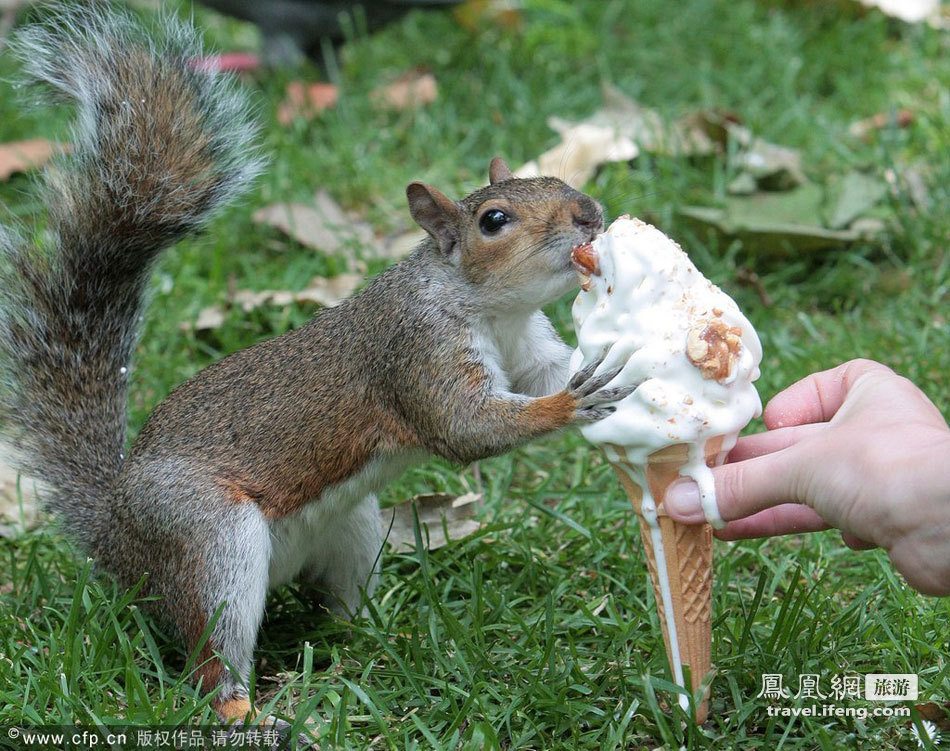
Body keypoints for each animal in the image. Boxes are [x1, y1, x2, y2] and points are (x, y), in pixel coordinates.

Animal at [1, 2, 632, 724]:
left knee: (337, 606)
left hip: (351, 528)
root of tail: (122, 542)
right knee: (210, 658)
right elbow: (466, 426)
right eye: (494, 220)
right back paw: (249, 712)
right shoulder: (415, 351)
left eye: (557, 179)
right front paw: (571, 405)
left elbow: (550, 376)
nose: (589, 213)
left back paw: (381, 639)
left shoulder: (526, 343)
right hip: (208, 538)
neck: (487, 308)